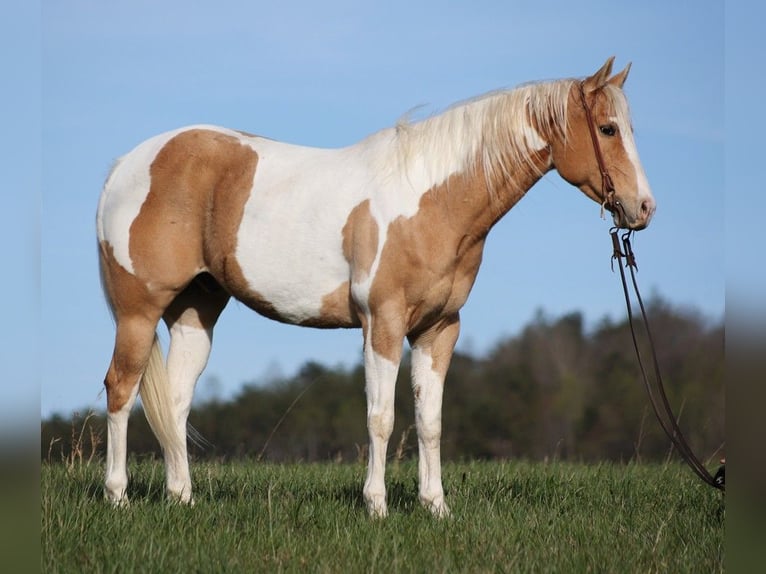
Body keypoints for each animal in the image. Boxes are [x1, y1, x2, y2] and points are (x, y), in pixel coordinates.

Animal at [97, 57, 656, 516]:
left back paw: (182, 498)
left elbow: (429, 421)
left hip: (196, 311)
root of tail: (124, 166)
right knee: (121, 389)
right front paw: (377, 506)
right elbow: (381, 417)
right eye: (607, 128)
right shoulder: (382, 323)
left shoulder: (438, 329)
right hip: (139, 312)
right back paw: (117, 497)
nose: (644, 208)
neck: (431, 200)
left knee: (174, 402)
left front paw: (436, 507)